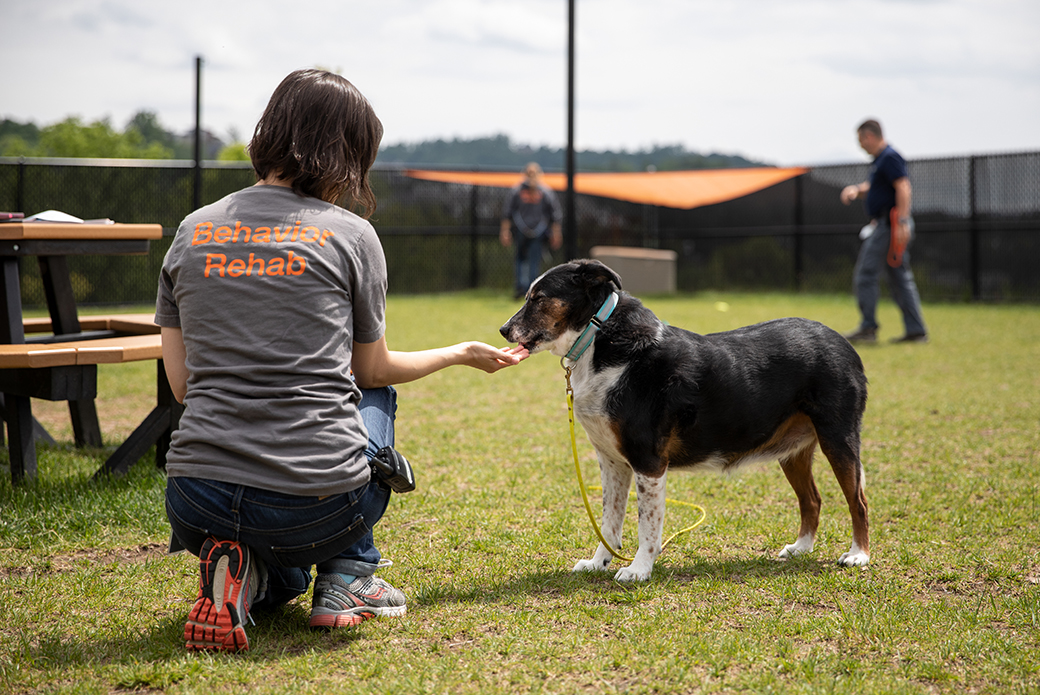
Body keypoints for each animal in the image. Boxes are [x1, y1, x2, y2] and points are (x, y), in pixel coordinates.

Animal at [501, 259, 869, 582]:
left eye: (539, 298)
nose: (503, 330)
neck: (598, 337)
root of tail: (842, 342)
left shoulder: (648, 463)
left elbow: (647, 525)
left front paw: (639, 570)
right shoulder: (612, 463)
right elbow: (609, 522)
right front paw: (598, 562)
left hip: (838, 439)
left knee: (858, 501)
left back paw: (859, 555)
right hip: (792, 451)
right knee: (812, 500)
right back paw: (802, 548)